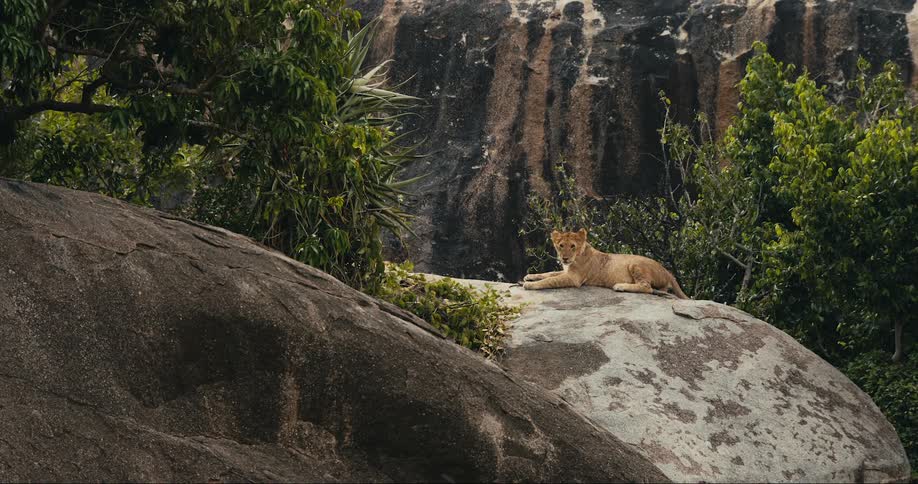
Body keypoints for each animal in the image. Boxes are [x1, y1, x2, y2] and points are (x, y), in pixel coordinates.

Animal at [522, 229, 689, 299]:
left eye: (572, 246)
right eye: (561, 245)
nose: (565, 258)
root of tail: (668, 271)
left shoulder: (574, 278)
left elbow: (551, 280)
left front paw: (530, 285)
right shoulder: (567, 271)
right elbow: (550, 273)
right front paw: (530, 276)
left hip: (634, 264)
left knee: (647, 287)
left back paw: (620, 286)